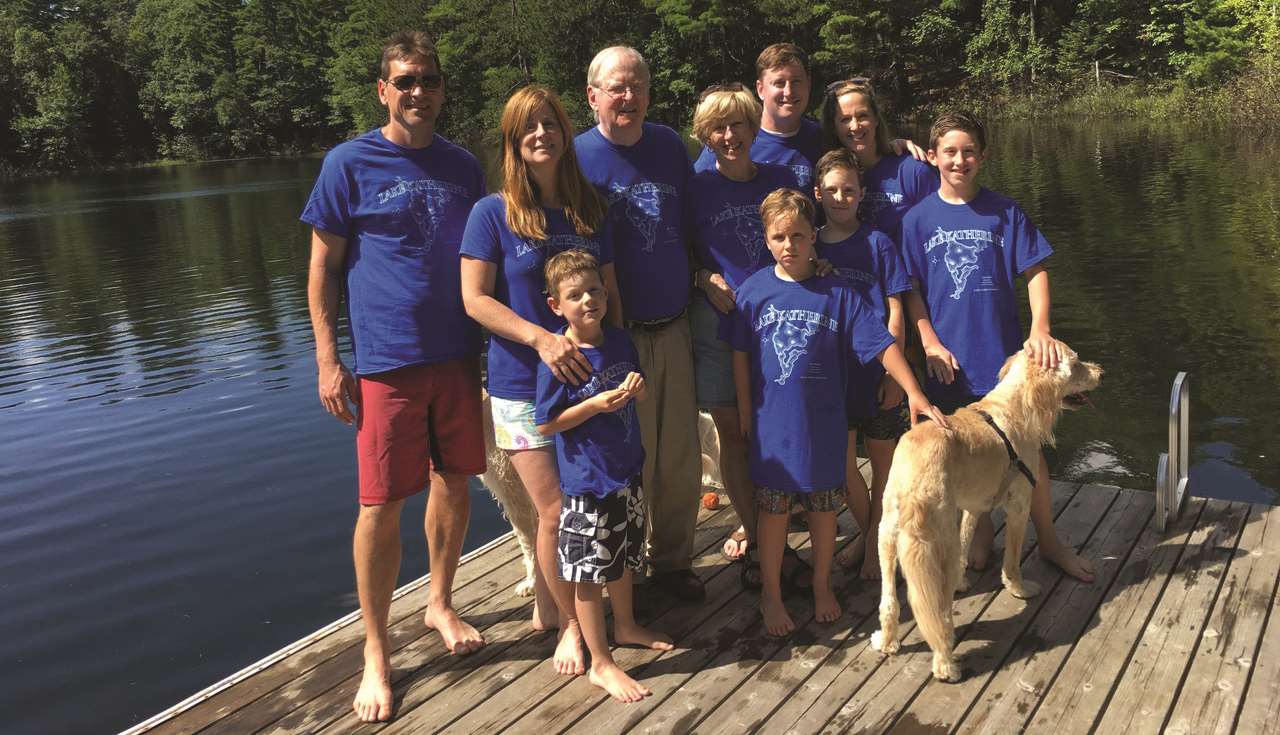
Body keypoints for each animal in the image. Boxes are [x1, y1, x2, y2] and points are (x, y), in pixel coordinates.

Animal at [870, 348, 1100, 681]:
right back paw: (946, 664)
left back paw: (886, 642)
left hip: (886, 537)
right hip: (935, 545)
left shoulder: (972, 505)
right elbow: (1013, 561)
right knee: (939, 614)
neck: (1013, 405)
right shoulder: (1019, 504)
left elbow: (968, 544)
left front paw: (962, 581)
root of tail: (914, 475)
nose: (1101, 372)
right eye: (1076, 363)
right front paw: (1020, 589)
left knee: (888, 602)